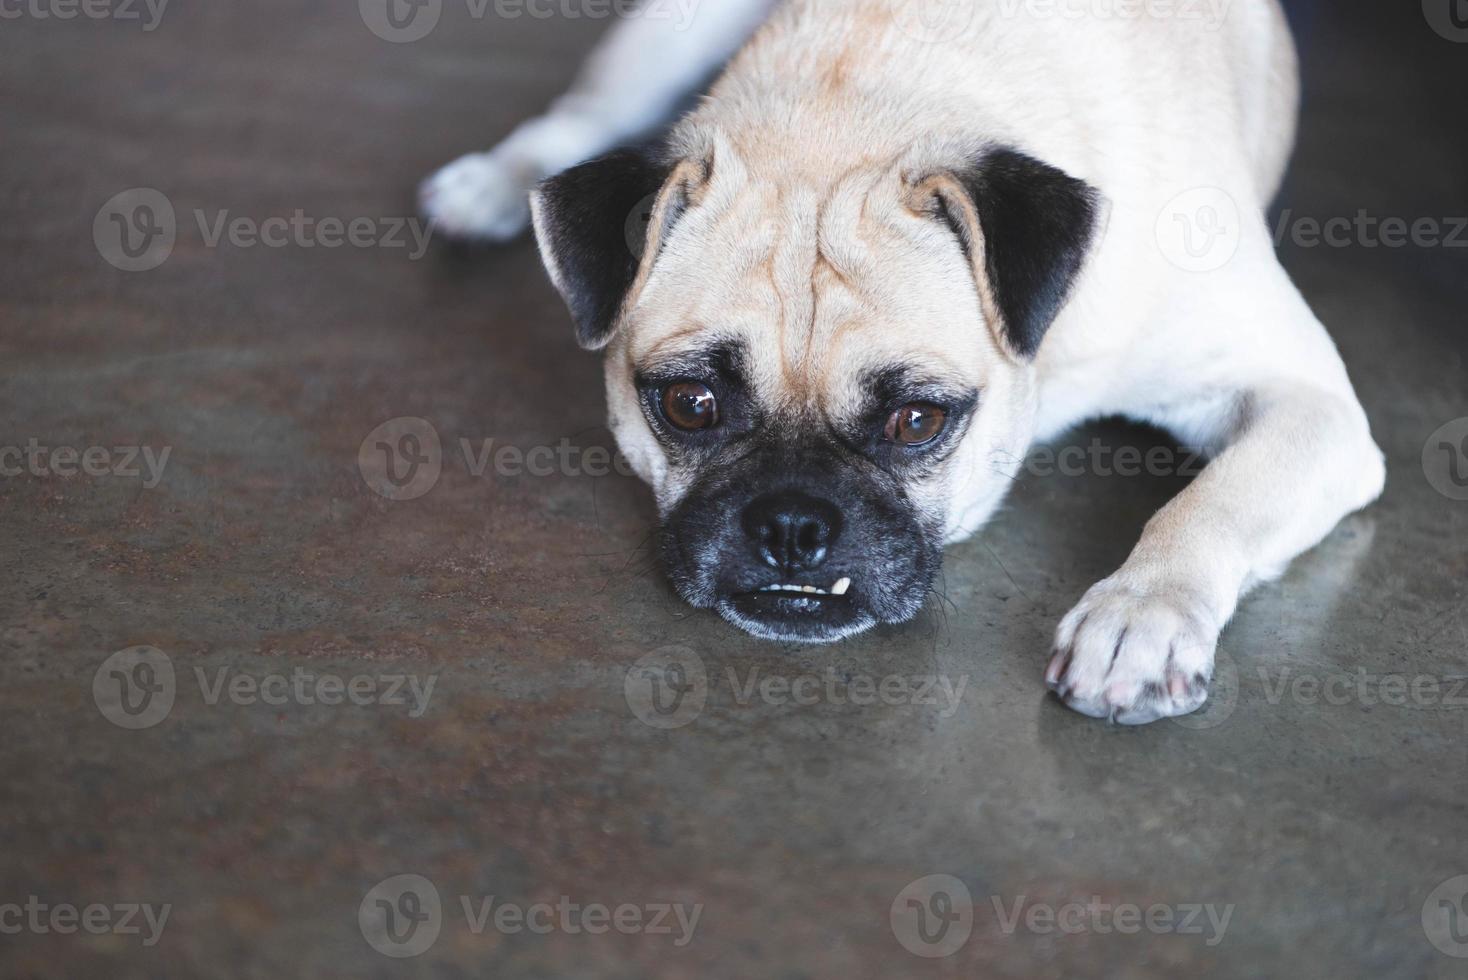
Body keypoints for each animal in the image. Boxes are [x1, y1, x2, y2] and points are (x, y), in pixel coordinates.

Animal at [419, 0, 1379, 718]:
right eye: (690, 404)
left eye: (918, 421)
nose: (792, 523)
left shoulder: (1311, 405)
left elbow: (1211, 501)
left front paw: (1142, 614)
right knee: (584, 113)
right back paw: (491, 182)